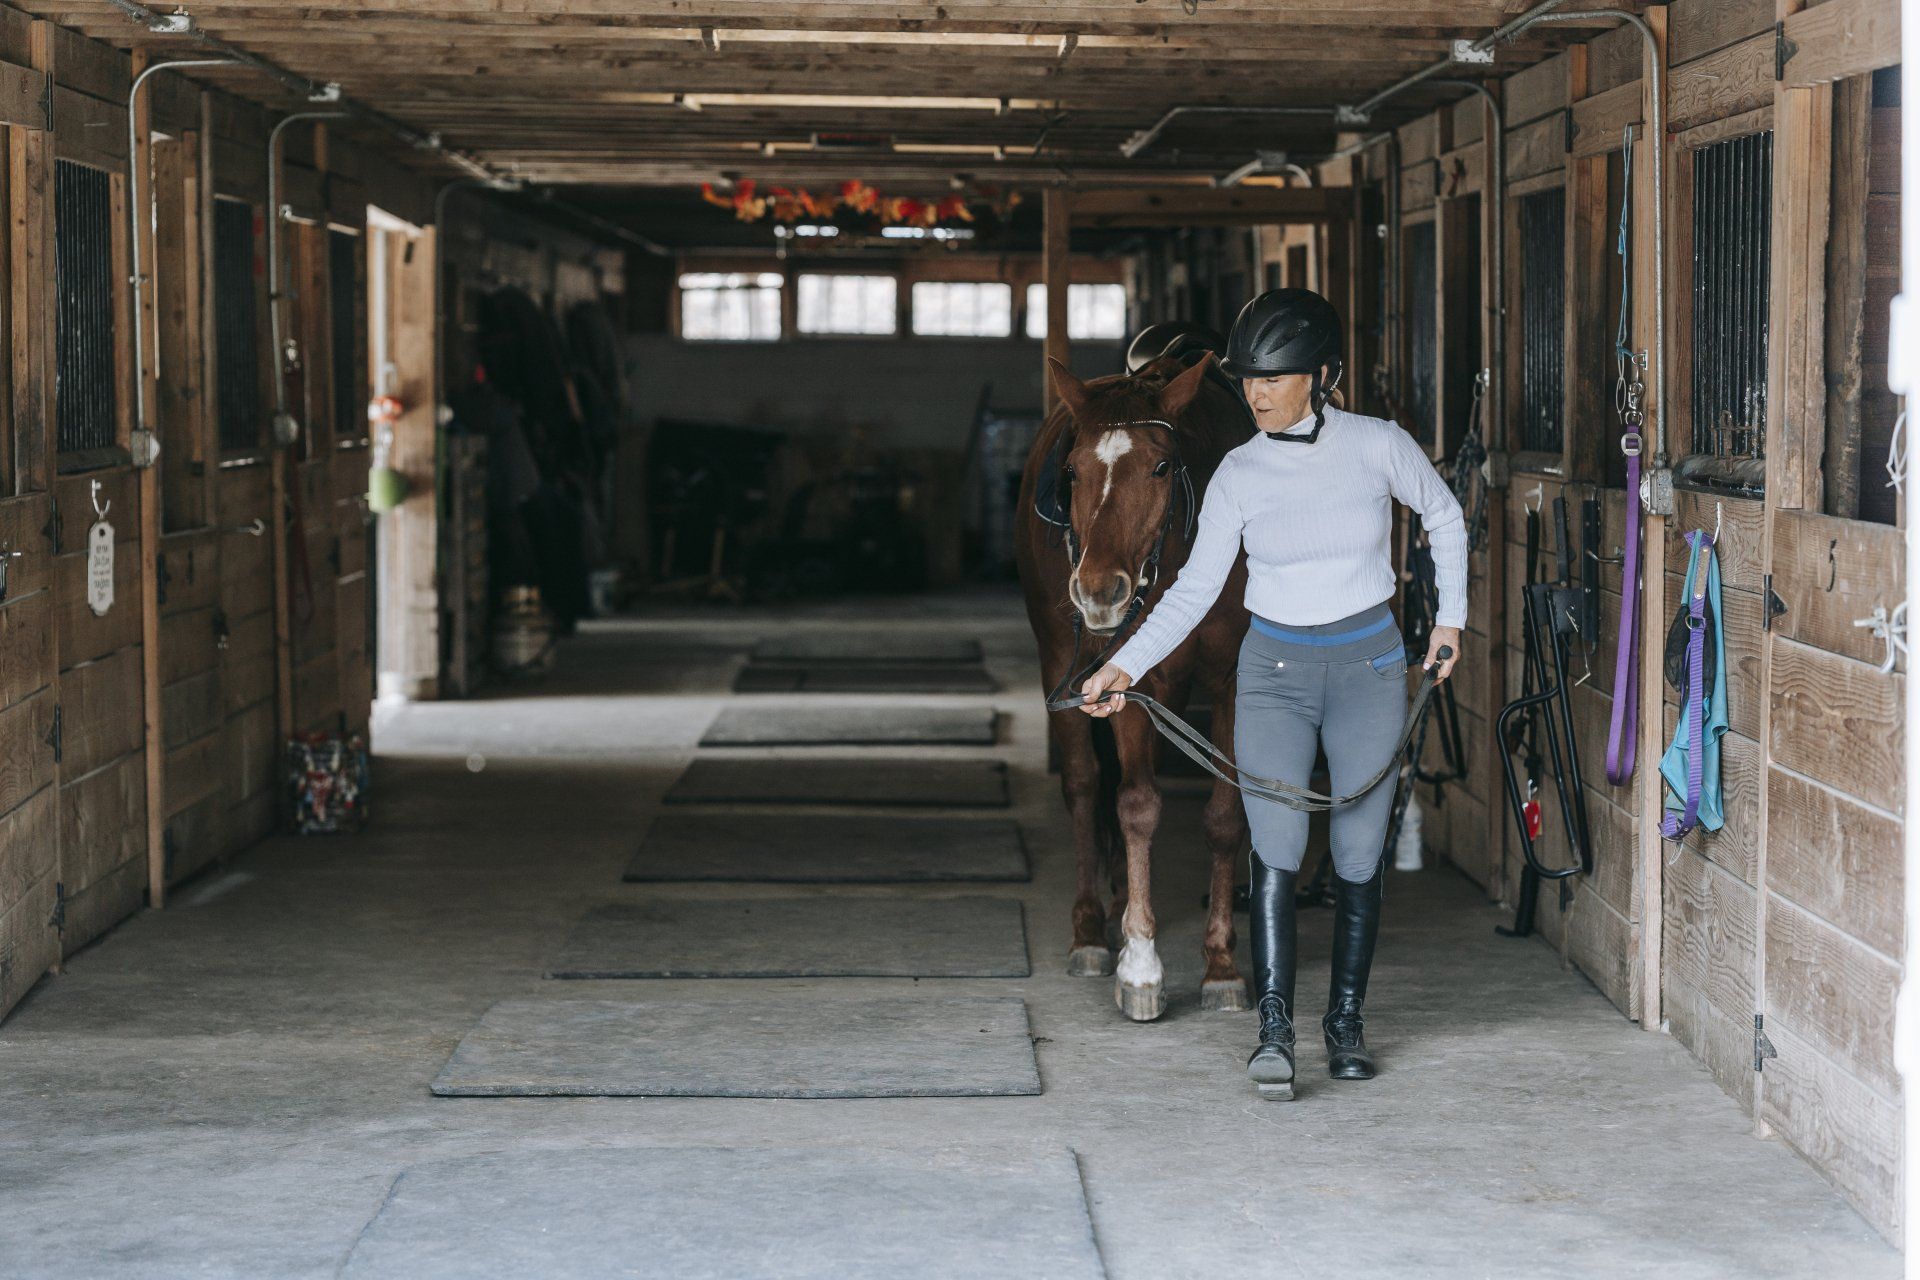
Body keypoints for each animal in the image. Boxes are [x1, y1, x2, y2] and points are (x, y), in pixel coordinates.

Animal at [1021, 353, 1259, 1020]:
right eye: (1072, 471)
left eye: (1160, 466)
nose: (1100, 592)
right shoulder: (1133, 674)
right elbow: (1136, 805)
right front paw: (1141, 966)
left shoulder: (1231, 679)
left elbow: (1224, 815)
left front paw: (1221, 965)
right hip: (1060, 656)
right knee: (1084, 786)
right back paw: (1091, 931)